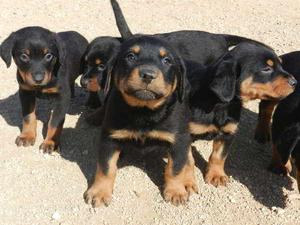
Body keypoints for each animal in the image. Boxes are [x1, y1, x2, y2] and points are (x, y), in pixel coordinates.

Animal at [83, 35, 198, 207]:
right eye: (131, 56)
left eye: (167, 60)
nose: (148, 75)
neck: (144, 110)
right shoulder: (109, 138)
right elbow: (106, 168)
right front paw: (100, 191)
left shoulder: (177, 139)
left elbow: (175, 168)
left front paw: (175, 191)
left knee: (188, 157)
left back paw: (188, 181)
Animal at [186, 42, 296, 186]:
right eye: (266, 69)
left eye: (281, 66)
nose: (295, 82)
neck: (220, 104)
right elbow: (187, 160)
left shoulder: (228, 133)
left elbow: (218, 156)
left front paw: (216, 175)